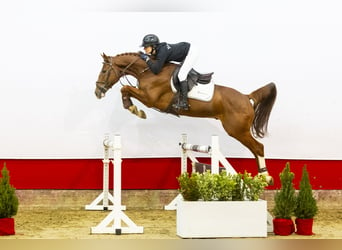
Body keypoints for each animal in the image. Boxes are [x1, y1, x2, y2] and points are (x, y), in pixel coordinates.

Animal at [95, 51, 276, 184]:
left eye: (104, 71)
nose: (97, 92)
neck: (149, 72)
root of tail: (246, 97)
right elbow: (125, 89)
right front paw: (133, 108)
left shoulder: (151, 99)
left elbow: (125, 88)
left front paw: (134, 109)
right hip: (239, 131)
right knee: (255, 149)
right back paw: (261, 176)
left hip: (237, 130)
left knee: (258, 147)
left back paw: (266, 177)